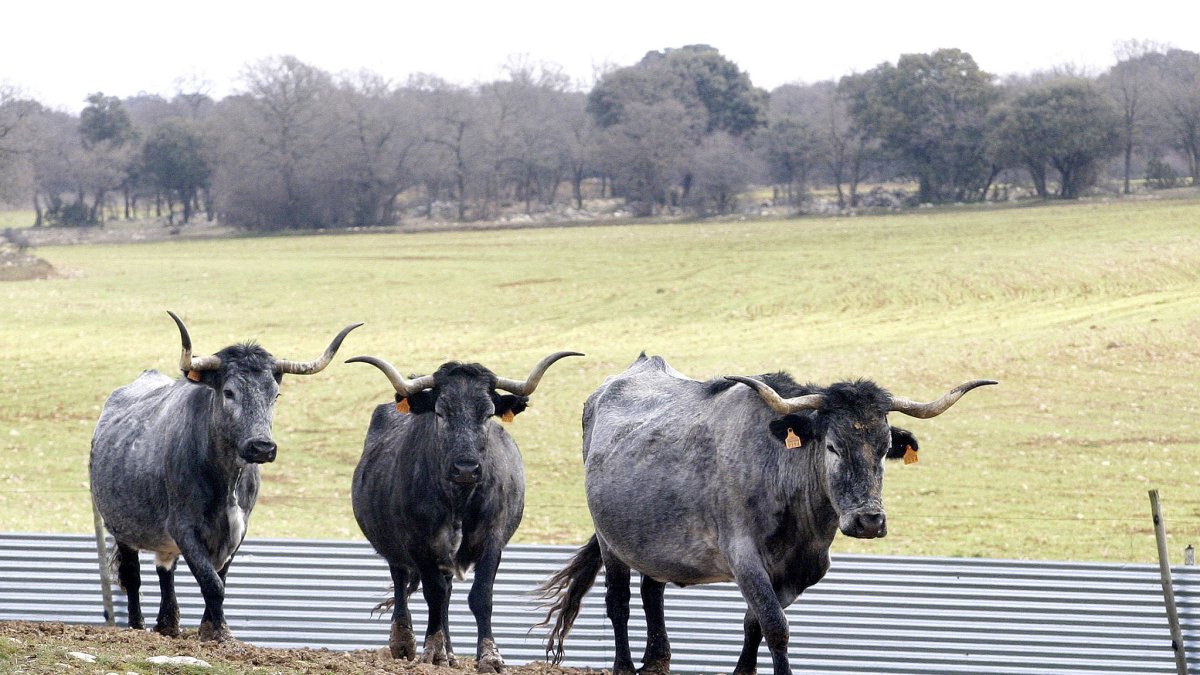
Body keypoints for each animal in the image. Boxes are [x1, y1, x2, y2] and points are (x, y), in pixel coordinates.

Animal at [89, 311, 361, 642]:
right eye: (229, 392)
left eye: (275, 394)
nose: (262, 446)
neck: (226, 478)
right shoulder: (184, 528)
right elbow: (212, 583)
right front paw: (219, 631)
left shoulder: (237, 531)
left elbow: (220, 578)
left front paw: (210, 628)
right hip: (121, 528)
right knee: (133, 577)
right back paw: (137, 626)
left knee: (165, 569)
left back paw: (168, 625)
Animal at [348, 350, 582, 673]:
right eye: (440, 412)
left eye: (488, 414)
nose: (466, 468)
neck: (459, 500)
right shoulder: (419, 543)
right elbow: (433, 595)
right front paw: (433, 652)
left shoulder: (493, 539)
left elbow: (480, 596)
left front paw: (490, 656)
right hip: (395, 545)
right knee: (402, 580)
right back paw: (405, 641)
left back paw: (450, 653)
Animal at [540, 354, 995, 675]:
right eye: (832, 446)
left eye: (884, 449)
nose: (869, 521)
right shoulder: (745, 560)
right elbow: (776, 626)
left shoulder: (802, 571)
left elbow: (755, 623)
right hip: (610, 540)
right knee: (618, 602)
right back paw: (625, 666)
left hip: (655, 542)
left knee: (653, 591)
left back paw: (657, 661)